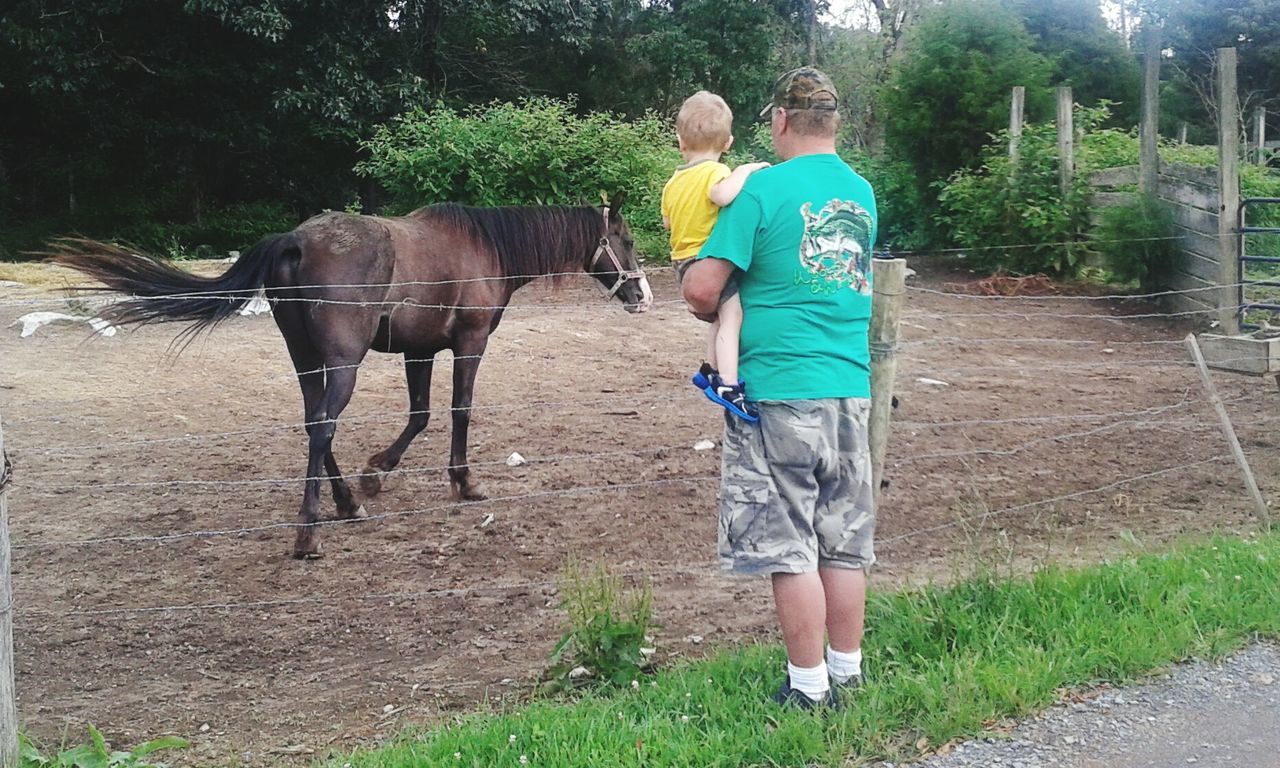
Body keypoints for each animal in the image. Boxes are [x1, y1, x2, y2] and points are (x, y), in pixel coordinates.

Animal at [49, 198, 650, 558]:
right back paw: (309, 532)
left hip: (308, 362)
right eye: (626, 239)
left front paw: (376, 474)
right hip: (342, 363)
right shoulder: (469, 345)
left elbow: (419, 414)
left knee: (316, 424)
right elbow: (458, 410)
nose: (640, 294)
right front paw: (463, 482)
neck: (485, 247)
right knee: (322, 426)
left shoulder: (419, 352)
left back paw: (346, 504)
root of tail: (293, 241)